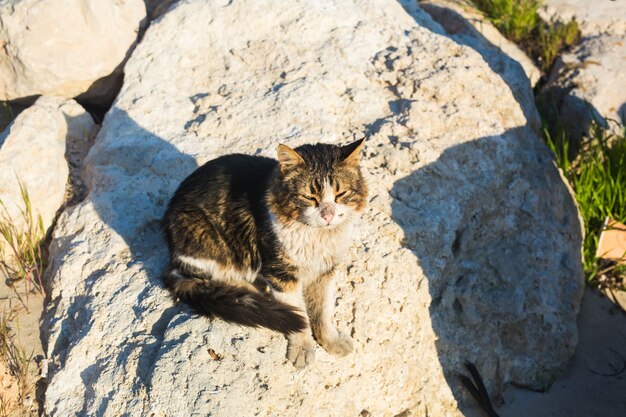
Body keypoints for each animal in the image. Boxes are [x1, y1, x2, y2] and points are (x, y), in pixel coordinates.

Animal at [160, 138, 366, 366]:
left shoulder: (325, 270)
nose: (328, 215)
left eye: (340, 194)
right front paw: (302, 348)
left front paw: (331, 340)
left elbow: (324, 311)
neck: (318, 237)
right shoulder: (280, 272)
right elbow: (300, 316)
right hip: (206, 237)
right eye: (309, 197)